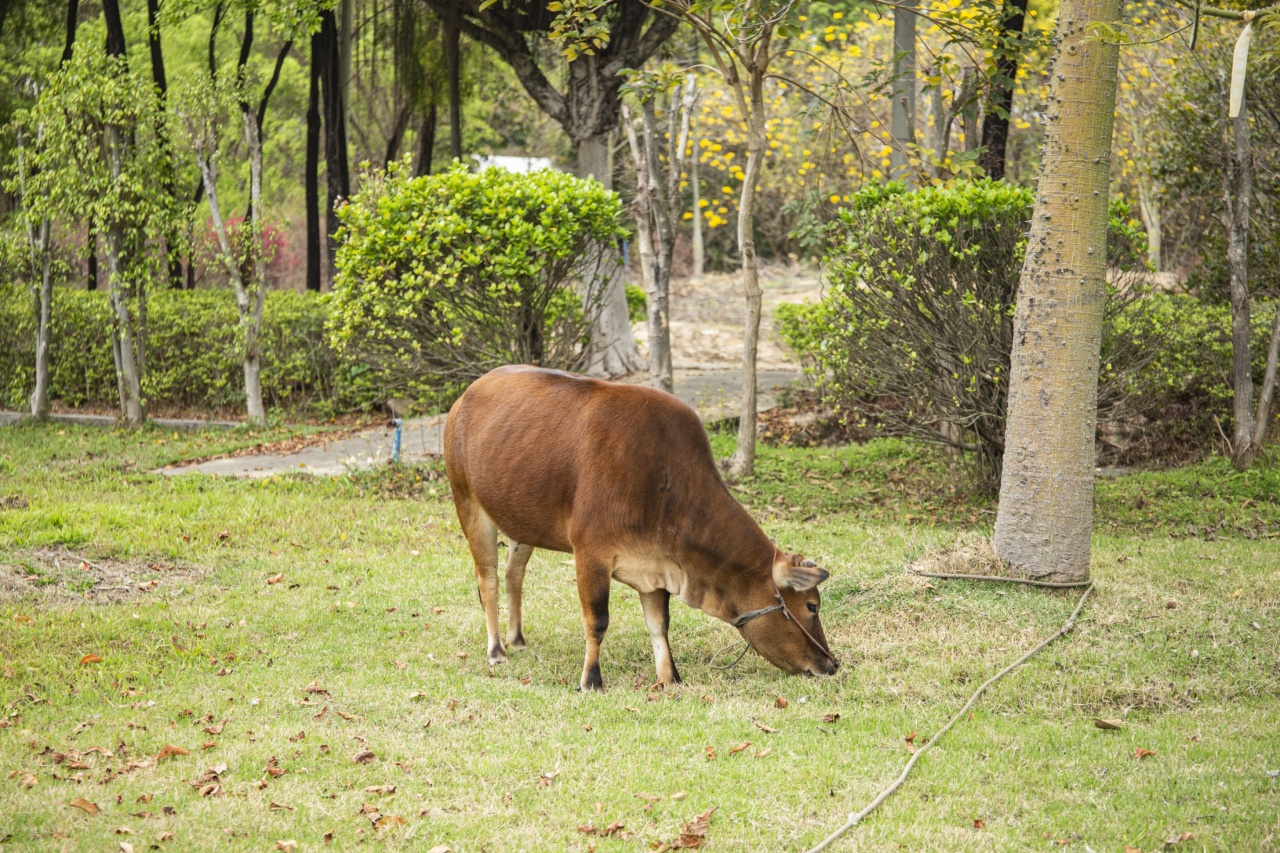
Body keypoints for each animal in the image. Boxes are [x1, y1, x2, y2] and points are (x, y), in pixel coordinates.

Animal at [442, 361, 839, 686]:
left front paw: (669, 677)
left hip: (521, 521)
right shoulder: (591, 553)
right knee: (489, 579)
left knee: (514, 574)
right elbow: (597, 620)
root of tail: (466, 395)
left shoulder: (659, 564)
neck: (663, 482)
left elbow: (659, 624)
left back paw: (517, 639)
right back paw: (496, 650)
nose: (831, 664)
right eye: (812, 606)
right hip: (468, 503)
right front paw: (591, 679)